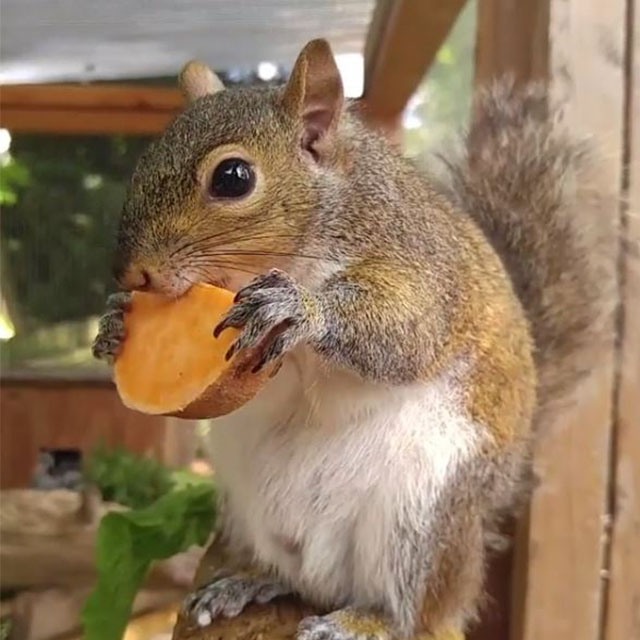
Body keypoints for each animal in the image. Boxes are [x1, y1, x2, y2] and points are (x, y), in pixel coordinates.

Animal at [93, 39, 616, 640]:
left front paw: (299, 307)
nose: (131, 274)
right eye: (145, 160)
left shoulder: (420, 266)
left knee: (421, 615)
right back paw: (245, 583)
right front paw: (114, 325)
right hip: (247, 510)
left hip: (422, 521)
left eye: (232, 177)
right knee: (296, 577)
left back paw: (366, 621)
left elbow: (408, 334)